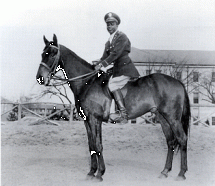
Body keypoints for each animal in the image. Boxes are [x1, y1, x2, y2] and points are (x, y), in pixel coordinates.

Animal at [36, 34, 190, 182]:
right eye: (42, 53)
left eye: (53, 54)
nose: (40, 78)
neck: (87, 82)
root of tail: (177, 82)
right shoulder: (87, 120)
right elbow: (91, 146)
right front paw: (91, 172)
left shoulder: (94, 119)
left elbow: (98, 146)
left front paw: (99, 174)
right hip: (162, 118)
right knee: (170, 141)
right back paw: (165, 171)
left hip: (173, 118)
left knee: (182, 139)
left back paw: (181, 173)